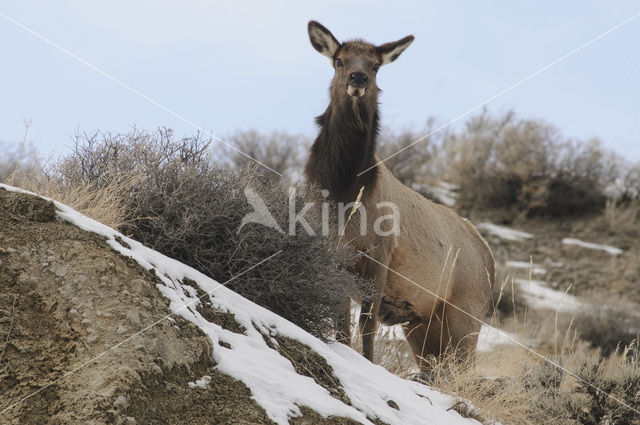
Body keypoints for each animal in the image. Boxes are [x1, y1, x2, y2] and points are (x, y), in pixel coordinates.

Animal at [304, 21, 496, 370]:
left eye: (376, 65)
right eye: (338, 60)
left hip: (467, 312)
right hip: (422, 323)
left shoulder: (380, 252)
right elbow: (341, 323)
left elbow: (366, 325)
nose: (358, 78)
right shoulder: (332, 252)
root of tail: (490, 259)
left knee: (463, 369)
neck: (342, 193)